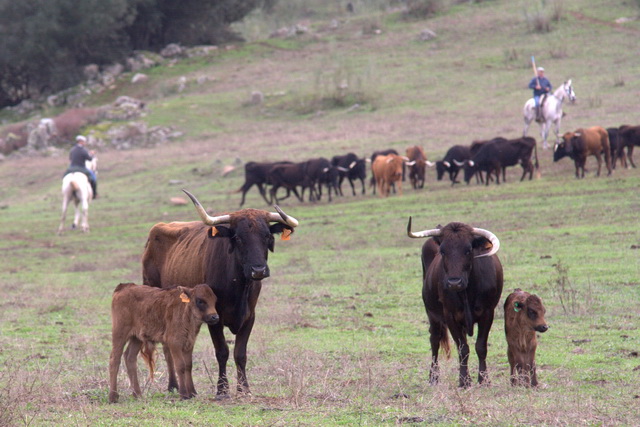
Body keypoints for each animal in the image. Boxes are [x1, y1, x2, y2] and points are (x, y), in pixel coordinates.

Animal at [141, 190, 298, 398]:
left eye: (267, 236)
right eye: (238, 238)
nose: (258, 270)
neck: (238, 287)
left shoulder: (250, 317)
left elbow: (240, 353)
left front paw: (244, 389)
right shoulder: (214, 318)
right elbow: (222, 352)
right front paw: (222, 389)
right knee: (166, 347)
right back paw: (173, 385)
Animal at [408, 219, 502, 390]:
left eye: (468, 250)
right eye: (443, 251)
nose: (454, 282)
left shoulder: (488, 313)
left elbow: (481, 346)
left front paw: (484, 380)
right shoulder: (450, 316)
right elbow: (462, 349)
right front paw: (464, 381)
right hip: (432, 314)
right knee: (434, 340)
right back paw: (433, 377)